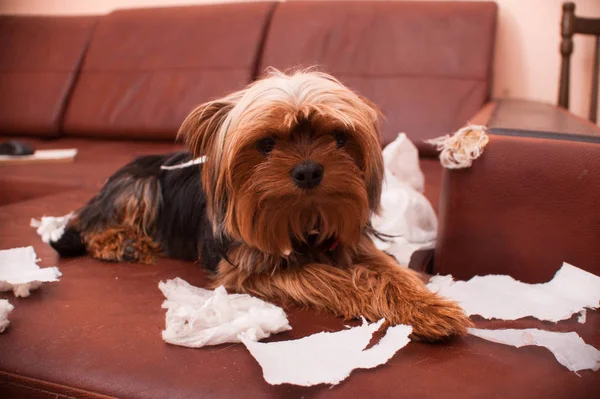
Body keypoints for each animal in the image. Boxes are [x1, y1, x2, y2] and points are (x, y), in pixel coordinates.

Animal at [51, 69, 472, 340]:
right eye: (266, 144)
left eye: (339, 137)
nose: (308, 170)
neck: (305, 218)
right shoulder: (246, 272)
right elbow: (327, 277)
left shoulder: (353, 244)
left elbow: (390, 271)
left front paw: (429, 307)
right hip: (142, 186)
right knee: (90, 225)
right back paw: (121, 242)